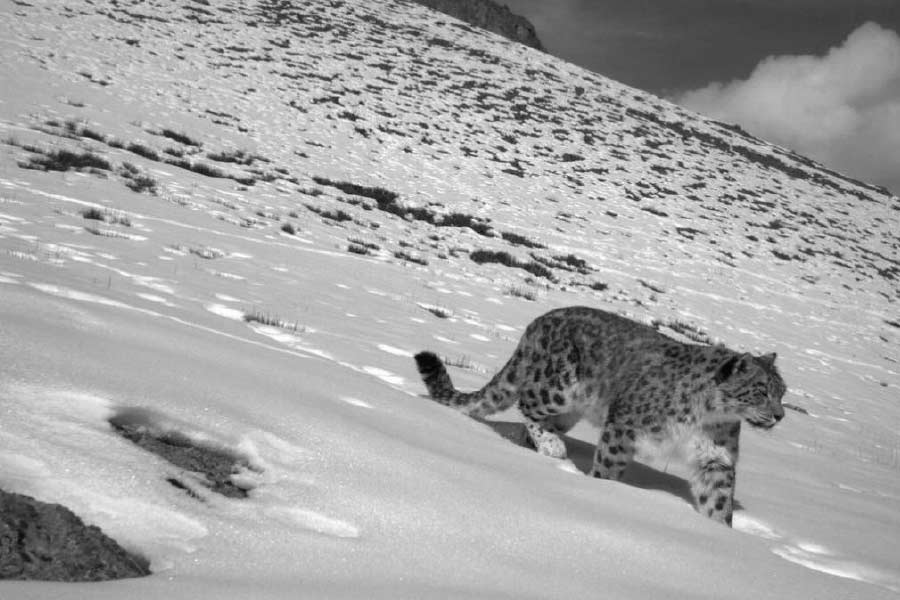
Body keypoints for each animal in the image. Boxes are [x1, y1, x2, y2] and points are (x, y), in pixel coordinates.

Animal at [414, 306, 787, 526]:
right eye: (762, 391)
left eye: (783, 392)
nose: (781, 416)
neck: (709, 416)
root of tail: (537, 321)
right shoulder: (624, 426)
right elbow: (609, 466)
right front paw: (601, 491)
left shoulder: (716, 455)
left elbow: (718, 498)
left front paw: (719, 531)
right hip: (557, 387)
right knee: (527, 404)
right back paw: (553, 449)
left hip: (568, 410)